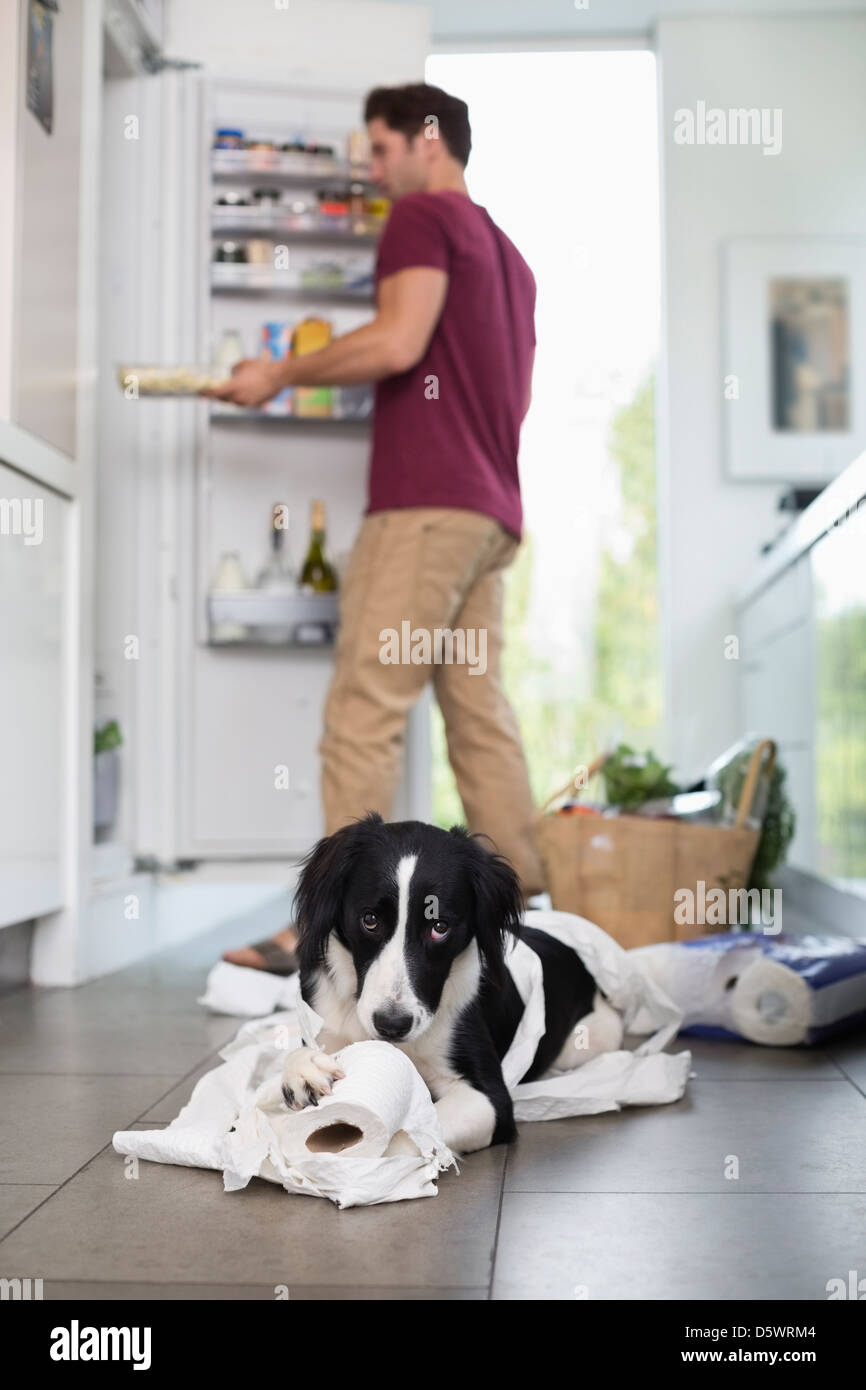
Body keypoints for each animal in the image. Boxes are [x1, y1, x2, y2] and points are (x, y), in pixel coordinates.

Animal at [280, 811, 625, 1150]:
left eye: (440, 927)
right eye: (370, 920)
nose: (392, 1025)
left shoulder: (490, 1099)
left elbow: (417, 1135)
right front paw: (305, 1069)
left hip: (594, 1036)